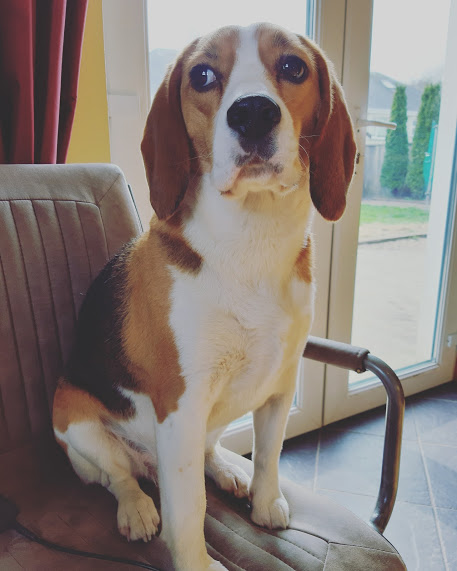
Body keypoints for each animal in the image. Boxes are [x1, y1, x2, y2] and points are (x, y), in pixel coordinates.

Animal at [52, 22, 356, 571]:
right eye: (203, 76)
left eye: (293, 67)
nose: (253, 113)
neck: (250, 240)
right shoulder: (182, 406)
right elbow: (189, 508)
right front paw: (196, 559)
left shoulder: (280, 385)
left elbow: (271, 455)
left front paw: (265, 501)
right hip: (75, 422)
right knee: (118, 476)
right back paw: (136, 508)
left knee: (205, 454)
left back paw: (228, 469)